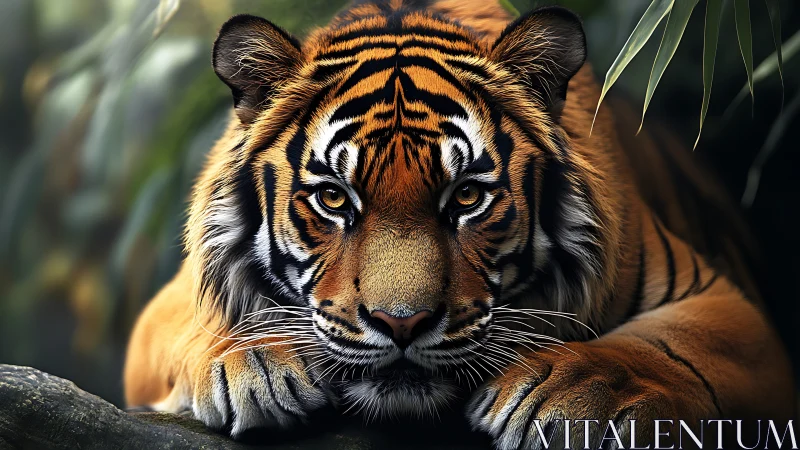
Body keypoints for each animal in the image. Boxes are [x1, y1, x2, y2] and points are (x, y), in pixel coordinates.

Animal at [123, 0, 795, 447]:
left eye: (467, 196)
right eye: (335, 199)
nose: (401, 325)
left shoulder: (727, 306)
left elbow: (652, 349)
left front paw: (564, 390)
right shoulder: (164, 307)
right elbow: (196, 324)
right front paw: (255, 361)